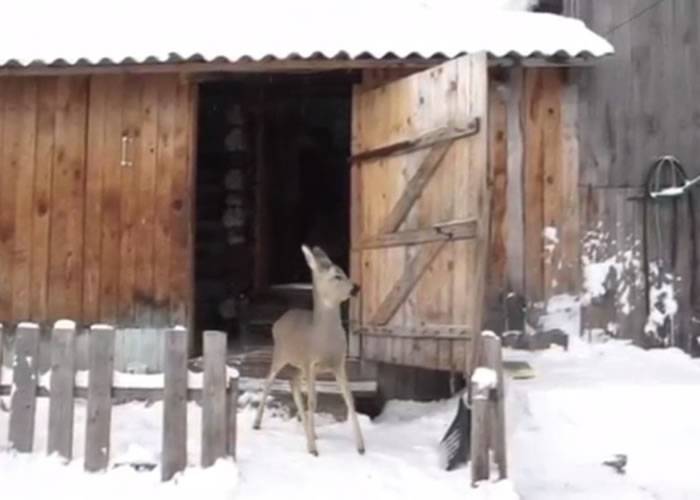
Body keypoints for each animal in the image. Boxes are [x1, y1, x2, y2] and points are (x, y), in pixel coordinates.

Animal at [254, 244, 370, 456]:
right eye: (336, 275)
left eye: (345, 272)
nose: (356, 287)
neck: (323, 339)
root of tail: (279, 320)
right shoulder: (310, 362)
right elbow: (313, 401)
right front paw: (312, 450)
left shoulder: (337, 363)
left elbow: (349, 399)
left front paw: (360, 447)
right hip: (280, 354)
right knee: (268, 381)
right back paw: (257, 423)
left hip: (299, 366)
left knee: (292, 382)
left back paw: (312, 432)